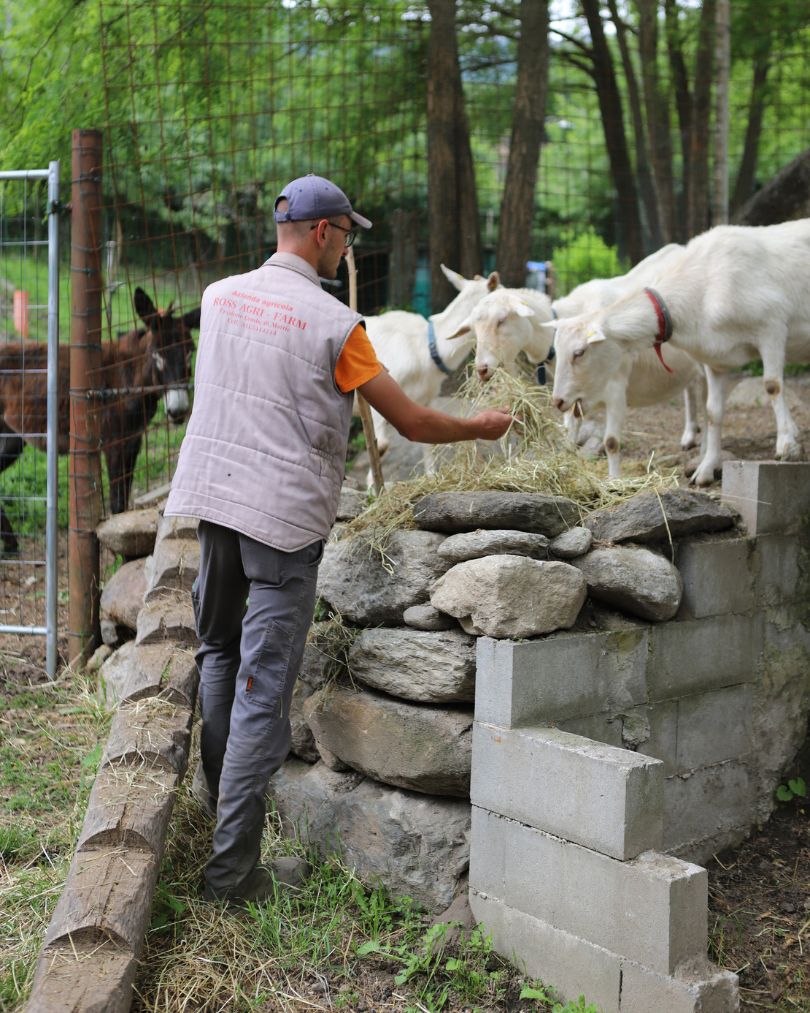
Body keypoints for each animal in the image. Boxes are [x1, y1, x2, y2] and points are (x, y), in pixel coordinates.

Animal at [550, 220, 810, 486]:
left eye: (579, 352)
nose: (558, 401)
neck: (703, 286)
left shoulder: (772, 327)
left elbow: (772, 385)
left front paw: (786, 446)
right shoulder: (716, 359)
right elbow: (713, 412)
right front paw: (705, 470)